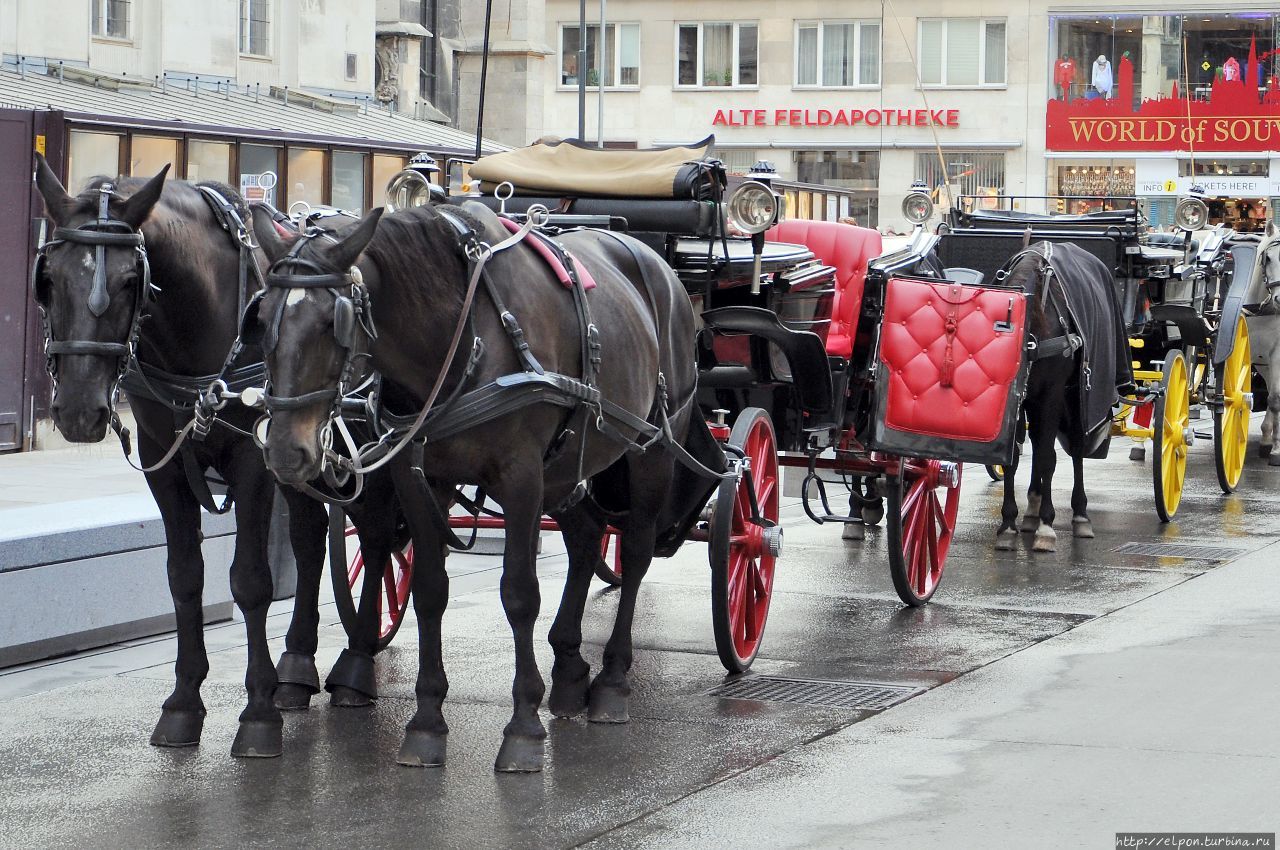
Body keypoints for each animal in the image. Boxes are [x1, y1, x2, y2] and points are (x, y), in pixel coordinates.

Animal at [31, 157, 399, 757]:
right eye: (49, 280)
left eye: (131, 280)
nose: (80, 410)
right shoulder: (166, 460)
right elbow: (184, 576)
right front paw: (184, 703)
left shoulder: (253, 462)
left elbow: (250, 580)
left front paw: (258, 713)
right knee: (309, 538)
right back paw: (298, 665)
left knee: (377, 536)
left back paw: (356, 664)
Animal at [248, 202, 711, 773]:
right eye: (262, 317)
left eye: (331, 323)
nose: (286, 452)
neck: (462, 334)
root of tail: (658, 264)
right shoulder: (422, 477)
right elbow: (429, 590)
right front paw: (426, 720)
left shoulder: (521, 477)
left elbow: (519, 595)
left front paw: (524, 725)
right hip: (570, 465)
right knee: (585, 539)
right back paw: (570, 668)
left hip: (651, 450)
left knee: (639, 552)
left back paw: (612, 680)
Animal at [993, 241, 1126, 555]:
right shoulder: (1020, 402)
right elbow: (1013, 457)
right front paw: (1008, 524)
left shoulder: (1051, 394)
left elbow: (1046, 459)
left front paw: (1047, 526)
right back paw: (1032, 509)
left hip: (1076, 400)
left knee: (1075, 450)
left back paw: (1079, 515)